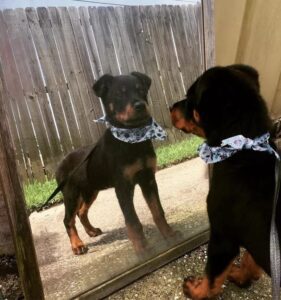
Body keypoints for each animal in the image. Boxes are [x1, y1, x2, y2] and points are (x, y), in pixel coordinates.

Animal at [52, 72, 177, 255]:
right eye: (119, 94)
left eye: (141, 90)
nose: (140, 105)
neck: (133, 139)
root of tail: (60, 163)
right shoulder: (122, 186)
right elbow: (132, 220)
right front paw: (142, 249)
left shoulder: (148, 179)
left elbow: (158, 211)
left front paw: (170, 235)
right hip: (71, 193)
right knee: (68, 219)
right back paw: (77, 245)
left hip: (90, 190)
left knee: (81, 212)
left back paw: (91, 231)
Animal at [170, 64, 278, 298]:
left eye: (190, 98)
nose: (170, 107)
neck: (243, 149)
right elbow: (249, 258)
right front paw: (243, 277)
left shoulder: (222, 236)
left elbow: (212, 277)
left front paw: (196, 291)